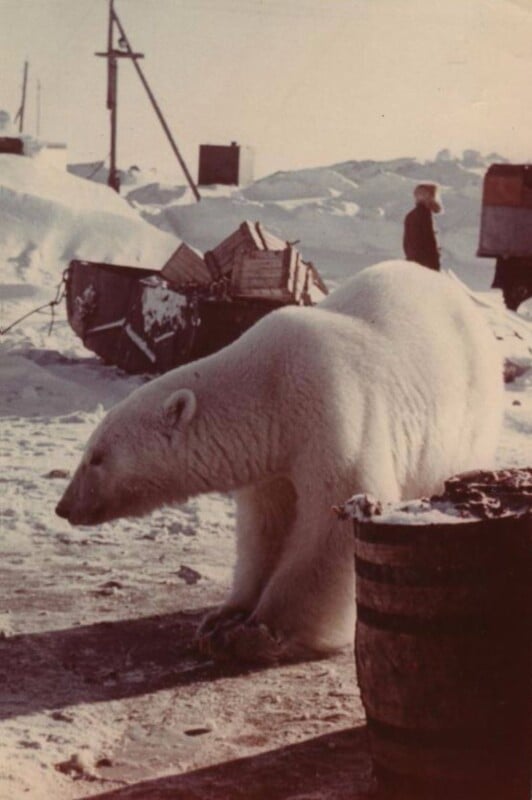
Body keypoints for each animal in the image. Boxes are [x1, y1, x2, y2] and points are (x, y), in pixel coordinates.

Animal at [56, 260, 503, 664]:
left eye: (96, 457)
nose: (64, 507)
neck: (270, 389)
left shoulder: (333, 412)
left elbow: (330, 526)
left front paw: (257, 633)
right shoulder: (269, 456)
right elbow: (266, 527)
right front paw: (222, 618)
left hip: (462, 418)